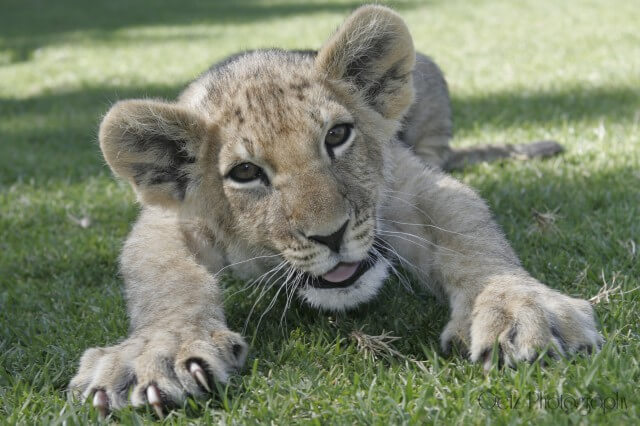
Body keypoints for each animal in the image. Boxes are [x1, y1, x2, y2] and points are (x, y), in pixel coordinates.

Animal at [69, 5, 601, 418]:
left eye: (337, 135)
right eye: (245, 173)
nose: (330, 235)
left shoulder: (410, 184)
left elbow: (470, 235)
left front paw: (519, 309)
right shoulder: (171, 219)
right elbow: (164, 278)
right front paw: (157, 353)